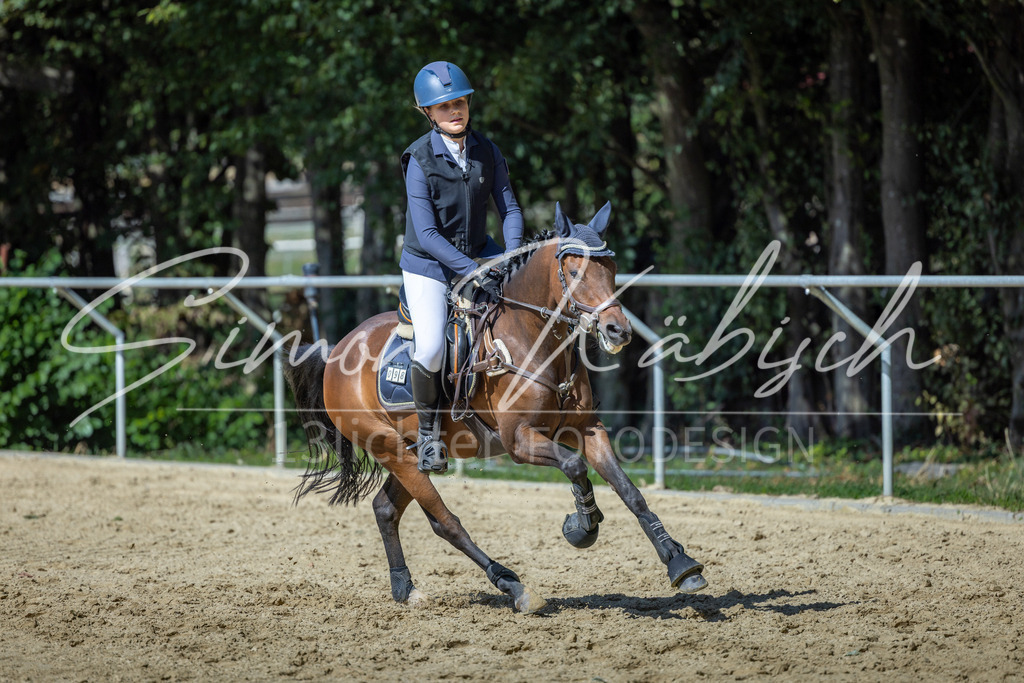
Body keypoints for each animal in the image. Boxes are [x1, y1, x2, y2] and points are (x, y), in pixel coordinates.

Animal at [284, 202, 707, 613]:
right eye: (573, 272)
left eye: (612, 270)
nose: (618, 331)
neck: (534, 342)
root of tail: (337, 351)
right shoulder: (519, 441)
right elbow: (574, 466)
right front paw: (582, 527)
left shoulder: (587, 429)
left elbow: (630, 490)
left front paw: (681, 564)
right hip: (390, 449)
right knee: (445, 522)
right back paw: (513, 586)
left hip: (406, 453)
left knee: (385, 509)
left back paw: (406, 589)